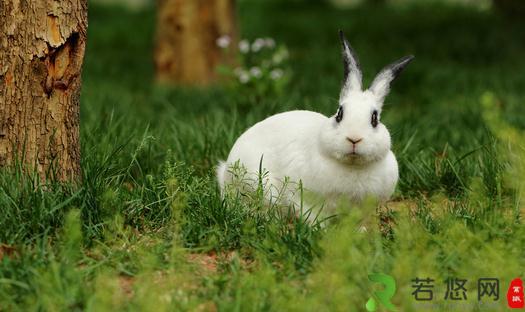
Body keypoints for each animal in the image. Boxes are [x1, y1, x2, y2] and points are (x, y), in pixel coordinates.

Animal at [217, 30, 414, 218]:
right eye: (339, 114)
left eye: (374, 119)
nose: (354, 139)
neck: (353, 166)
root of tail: (225, 172)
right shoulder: (305, 201)